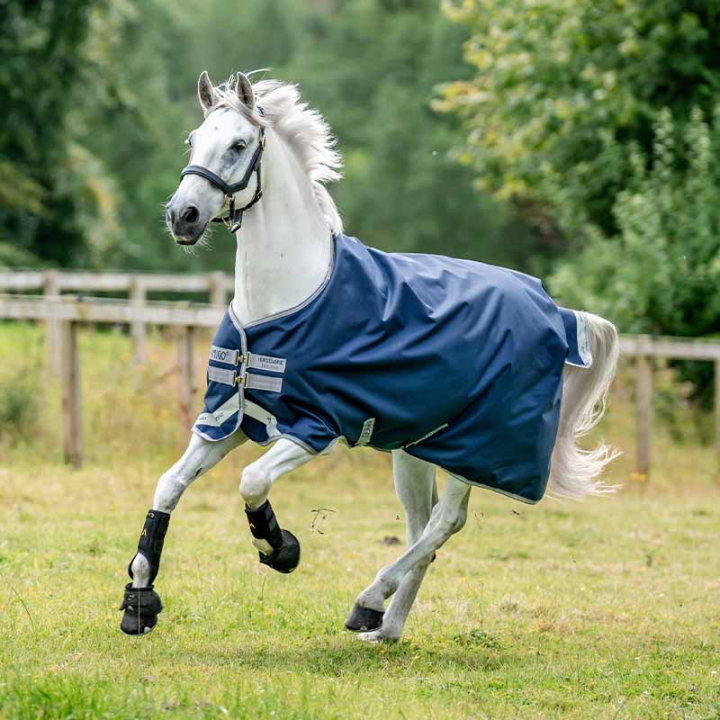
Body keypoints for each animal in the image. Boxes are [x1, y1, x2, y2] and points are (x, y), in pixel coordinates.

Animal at [119, 71, 619, 642]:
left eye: (239, 145)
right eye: (194, 140)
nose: (183, 216)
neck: (286, 296)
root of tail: (552, 308)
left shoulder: (314, 426)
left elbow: (252, 481)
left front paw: (281, 549)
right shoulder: (228, 417)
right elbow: (169, 484)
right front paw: (140, 599)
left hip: (477, 450)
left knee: (443, 524)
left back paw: (369, 600)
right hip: (417, 450)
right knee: (422, 528)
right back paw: (384, 627)